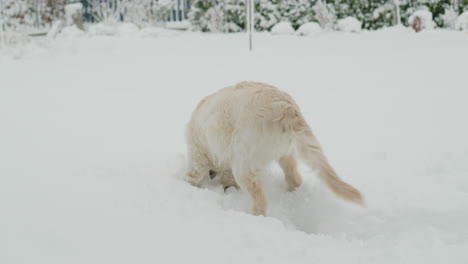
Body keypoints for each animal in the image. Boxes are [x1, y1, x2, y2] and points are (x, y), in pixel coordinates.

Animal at [185, 81, 364, 216]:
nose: (212, 174)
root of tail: (287, 110)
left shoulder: (198, 152)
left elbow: (194, 174)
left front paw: (188, 184)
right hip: (286, 154)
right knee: (295, 179)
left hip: (244, 161)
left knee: (260, 200)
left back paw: (252, 215)